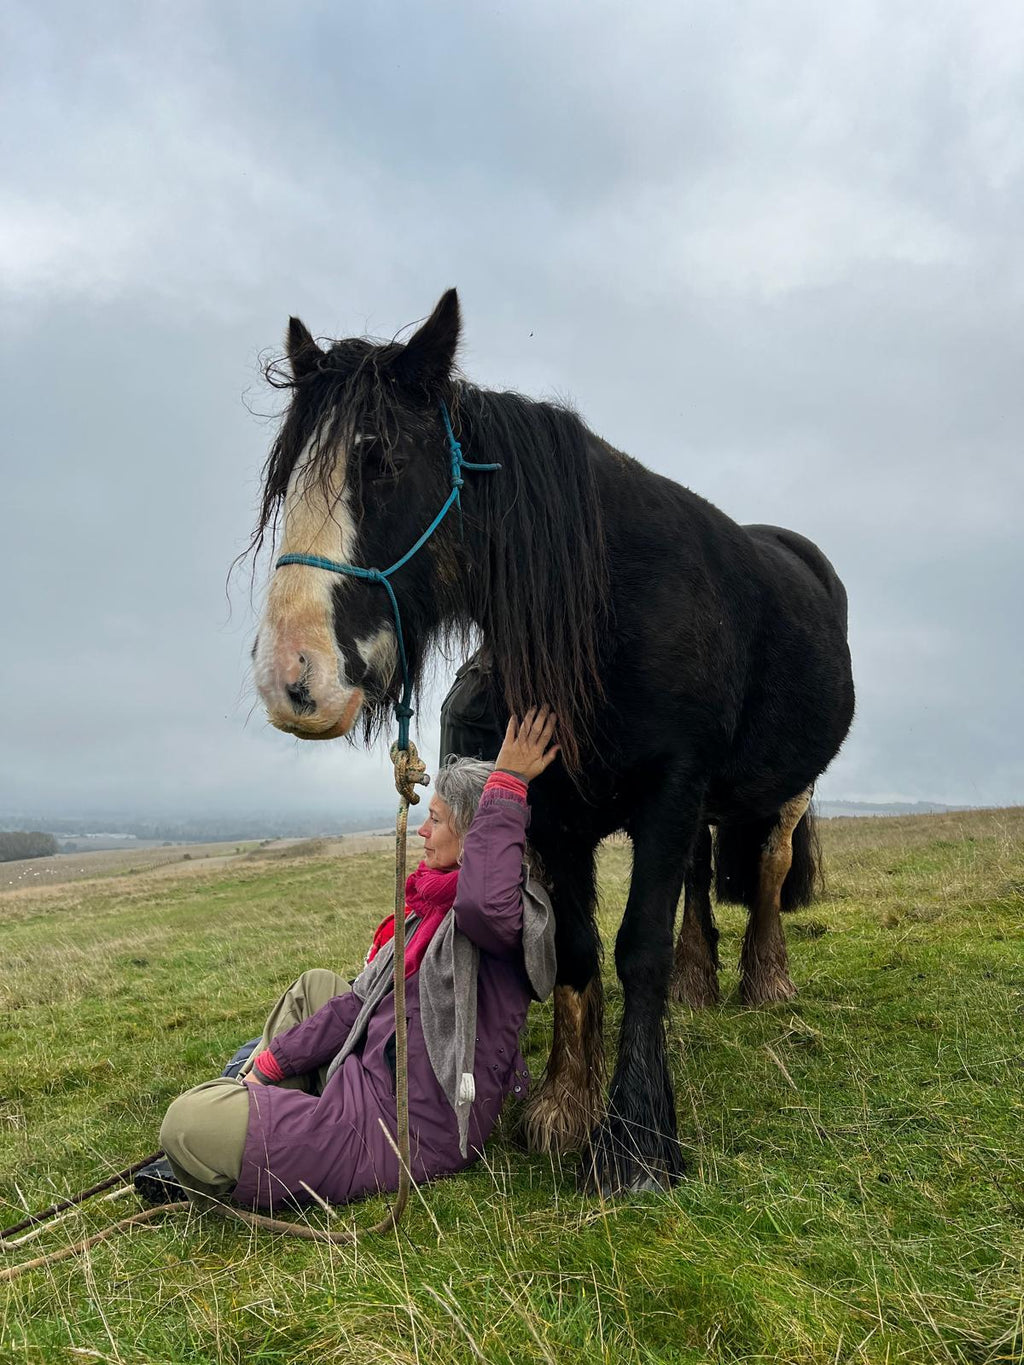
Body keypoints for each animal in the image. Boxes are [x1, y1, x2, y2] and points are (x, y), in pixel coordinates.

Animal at [250, 289, 855, 1194]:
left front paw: (636, 1140)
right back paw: (701, 980)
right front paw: (566, 1108)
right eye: (288, 476)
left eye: (382, 461)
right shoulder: (549, 806)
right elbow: (572, 952)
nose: (292, 673)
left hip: (786, 789)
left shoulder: (670, 787)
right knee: (703, 876)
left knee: (771, 869)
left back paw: (766, 978)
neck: (604, 607)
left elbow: (635, 947)